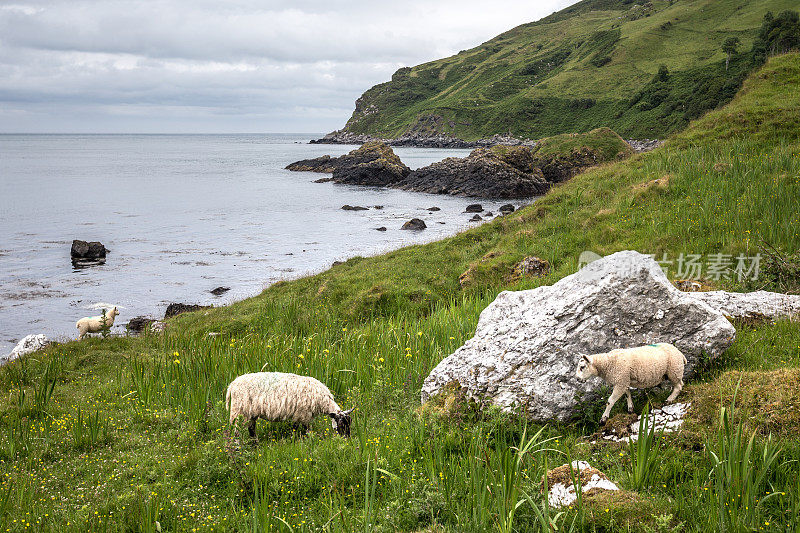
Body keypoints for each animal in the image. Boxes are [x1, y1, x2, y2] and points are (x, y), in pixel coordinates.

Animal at [223, 370, 352, 440]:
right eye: (341, 425)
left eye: (349, 423)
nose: (346, 439)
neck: (323, 402)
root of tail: (232, 385)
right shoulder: (302, 414)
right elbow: (303, 429)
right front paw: (303, 440)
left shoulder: (300, 414)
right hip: (239, 411)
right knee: (237, 431)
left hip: (250, 413)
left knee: (251, 429)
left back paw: (255, 443)